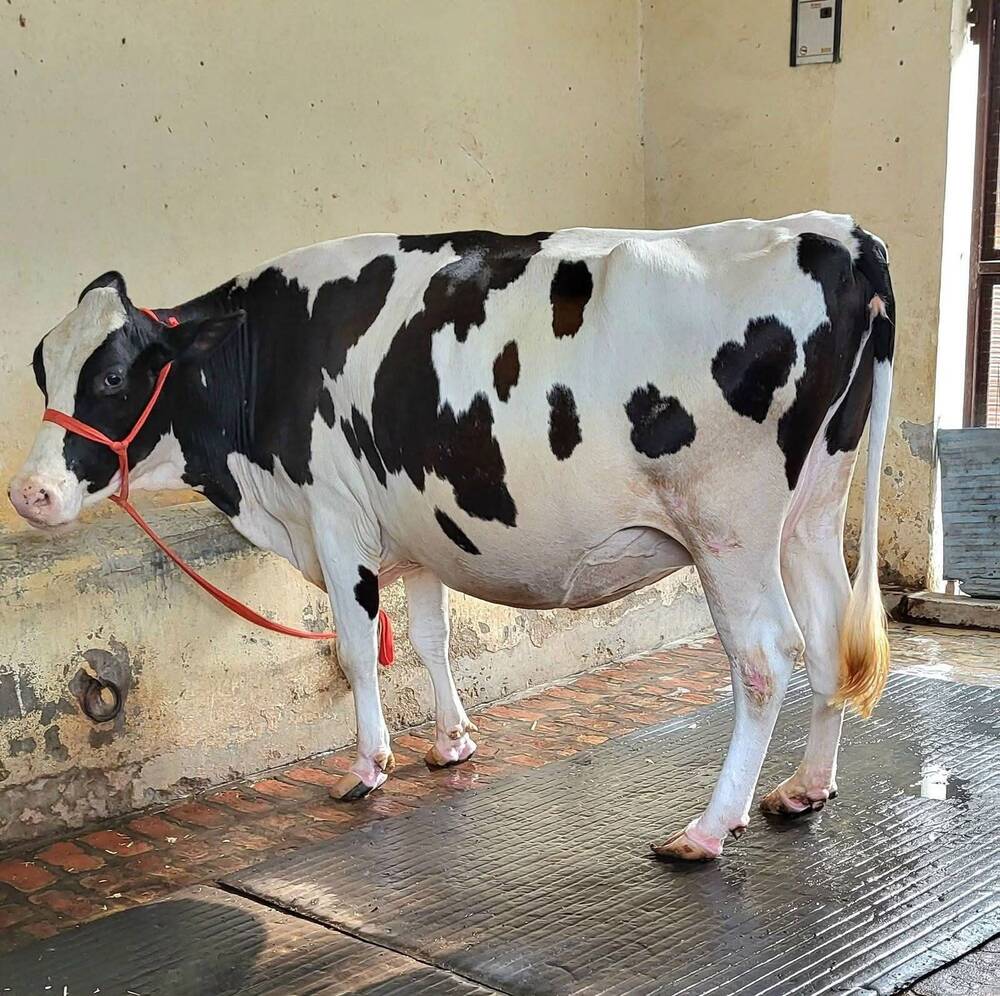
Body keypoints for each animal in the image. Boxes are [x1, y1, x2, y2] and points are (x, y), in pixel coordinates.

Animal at [9, 211, 894, 861]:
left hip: (729, 526)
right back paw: (804, 789)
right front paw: (451, 742)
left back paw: (709, 828)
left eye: (111, 376)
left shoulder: (335, 518)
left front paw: (367, 767)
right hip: (812, 512)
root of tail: (834, 232)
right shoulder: (420, 523)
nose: (29, 492)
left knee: (765, 657)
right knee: (826, 639)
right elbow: (430, 638)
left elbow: (357, 649)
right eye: (42, 369)